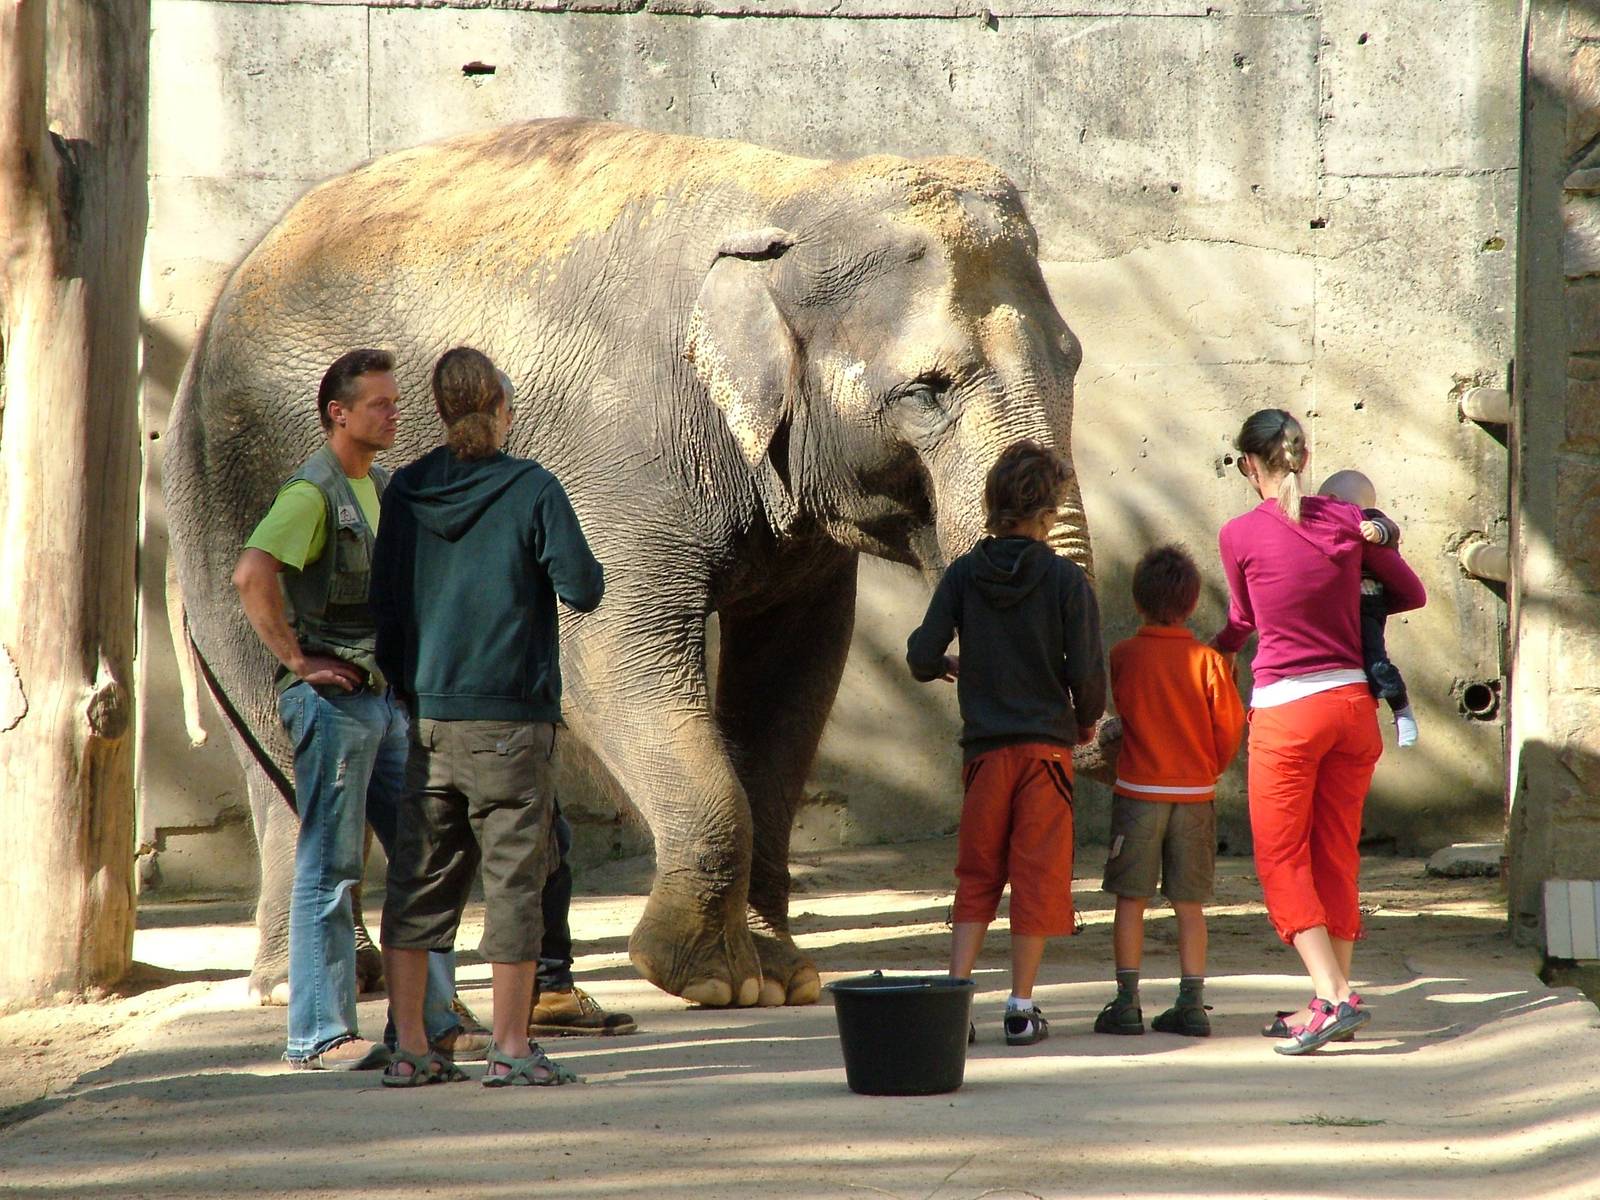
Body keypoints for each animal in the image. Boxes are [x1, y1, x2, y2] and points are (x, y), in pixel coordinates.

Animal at [164, 116, 1098, 1009]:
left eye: (1076, 358)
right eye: (926, 392)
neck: (789, 193)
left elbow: (795, 674)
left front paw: (776, 977)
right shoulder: (617, 460)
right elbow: (611, 651)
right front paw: (707, 980)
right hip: (236, 499)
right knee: (293, 736)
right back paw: (314, 983)